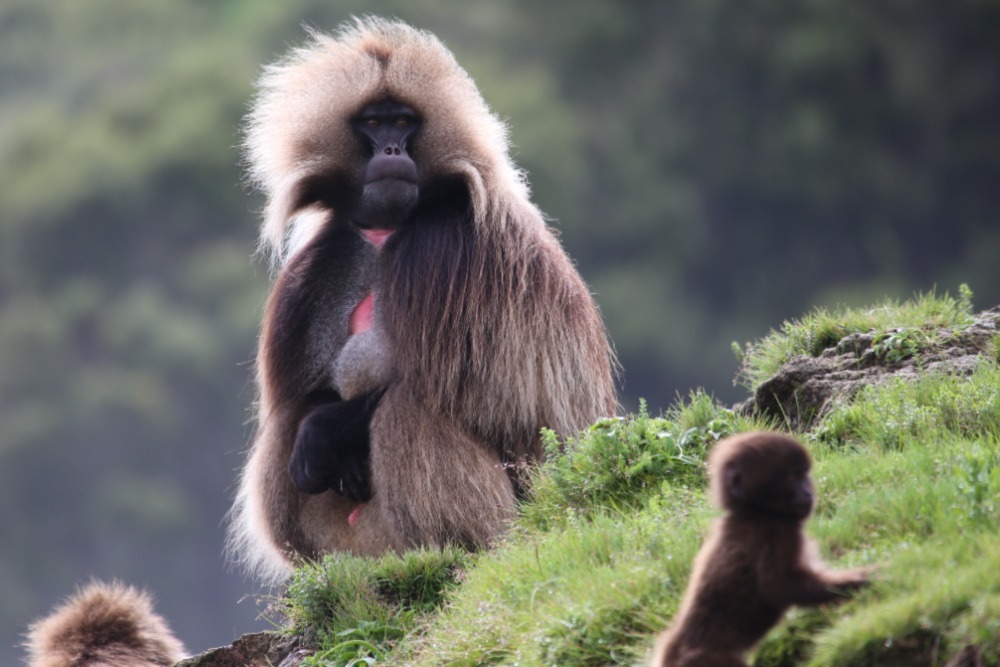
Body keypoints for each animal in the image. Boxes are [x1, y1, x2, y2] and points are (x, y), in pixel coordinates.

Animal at [229, 17, 616, 584]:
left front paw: (327, 431)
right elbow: (310, 395)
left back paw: (455, 551)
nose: (392, 151)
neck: (388, 232)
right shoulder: (327, 258)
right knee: (287, 424)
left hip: (515, 508)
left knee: (405, 410)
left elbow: (477, 398)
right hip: (359, 546)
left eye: (404, 123)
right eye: (373, 123)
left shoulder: (444, 249)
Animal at [652, 434, 872, 667]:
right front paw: (867, 579)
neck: (754, 512)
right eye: (792, 477)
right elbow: (782, 587)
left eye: (803, 474)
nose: (807, 492)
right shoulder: (776, 535)